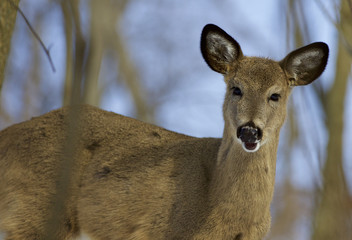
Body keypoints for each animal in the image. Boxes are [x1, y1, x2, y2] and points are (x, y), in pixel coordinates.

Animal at [0, 23, 328, 240]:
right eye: (236, 89)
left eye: (276, 95)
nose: (250, 131)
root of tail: (7, 137)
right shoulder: (156, 230)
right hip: (36, 213)